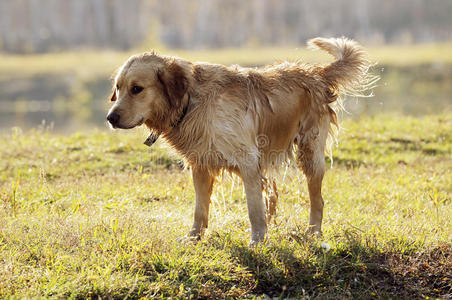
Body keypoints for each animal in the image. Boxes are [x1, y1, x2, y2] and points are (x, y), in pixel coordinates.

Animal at [107, 37, 376, 245]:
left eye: (137, 88)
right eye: (118, 88)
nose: (110, 118)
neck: (191, 102)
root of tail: (315, 72)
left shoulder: (248, 161)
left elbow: (253, 209)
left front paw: (257, 241)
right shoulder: (200, 164)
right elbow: (200, 208)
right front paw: (194, 237)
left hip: (310, 153)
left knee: (317, 200)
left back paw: (313, 234)